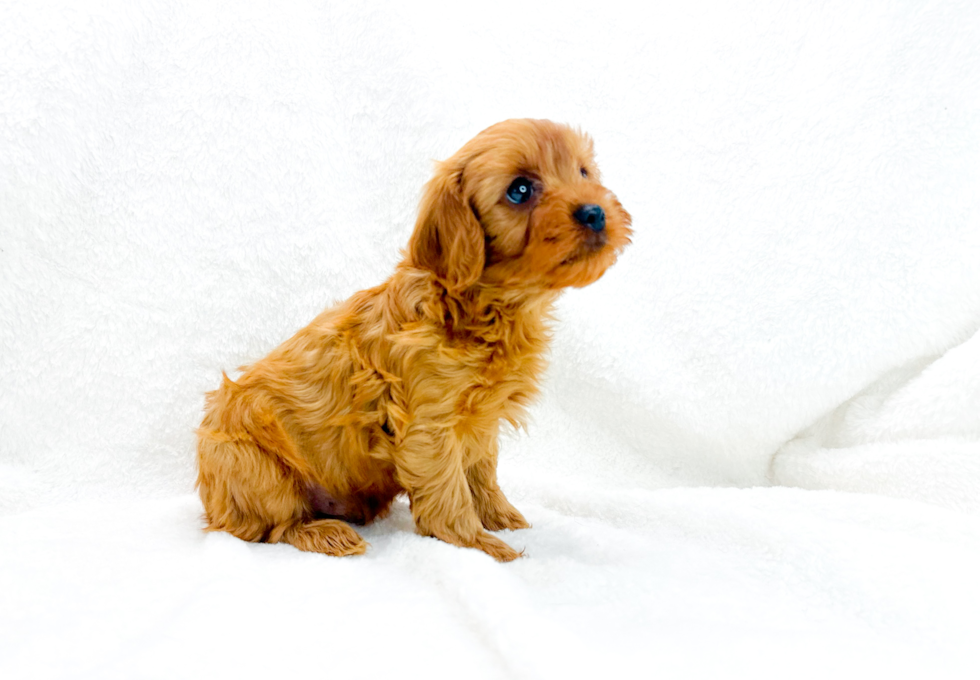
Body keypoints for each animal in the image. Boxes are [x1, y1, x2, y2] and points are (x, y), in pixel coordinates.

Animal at [195, 118, 632, 564]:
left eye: (583, 173)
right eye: (520, 190)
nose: (595, 212)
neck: (481, 308)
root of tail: (213, 504)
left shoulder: (480, 423)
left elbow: (481, 473)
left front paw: (501, 517)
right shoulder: (429, 427)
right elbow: (449, 494)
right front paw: (481, 544)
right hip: (251, 465)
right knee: (274, 527)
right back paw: (326, 533)